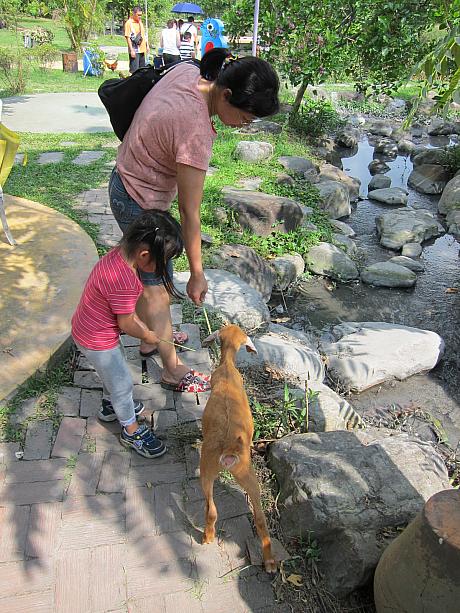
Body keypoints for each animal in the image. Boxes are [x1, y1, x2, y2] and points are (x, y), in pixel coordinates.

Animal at [199, 322, 274, 572]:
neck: (227, 368)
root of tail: (229, 448)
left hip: (209, 470)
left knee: (211, 510)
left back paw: (208, 537)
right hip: (240, 474)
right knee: (258, 518)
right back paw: (270, 561)